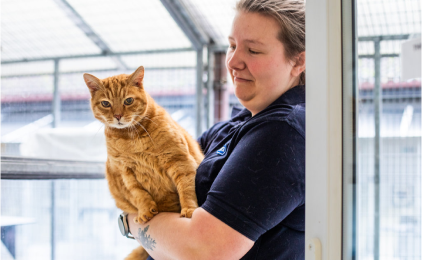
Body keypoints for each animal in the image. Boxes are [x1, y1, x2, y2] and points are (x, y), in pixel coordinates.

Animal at [83, 66, 204, 258]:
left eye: (128, 100)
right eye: (106, 104)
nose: (118, 116)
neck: (130, 138)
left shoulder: (179, 161)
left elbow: (186, 189)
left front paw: (189, 210)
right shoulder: (127, 173)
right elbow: (139, 194)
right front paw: (146, 210)